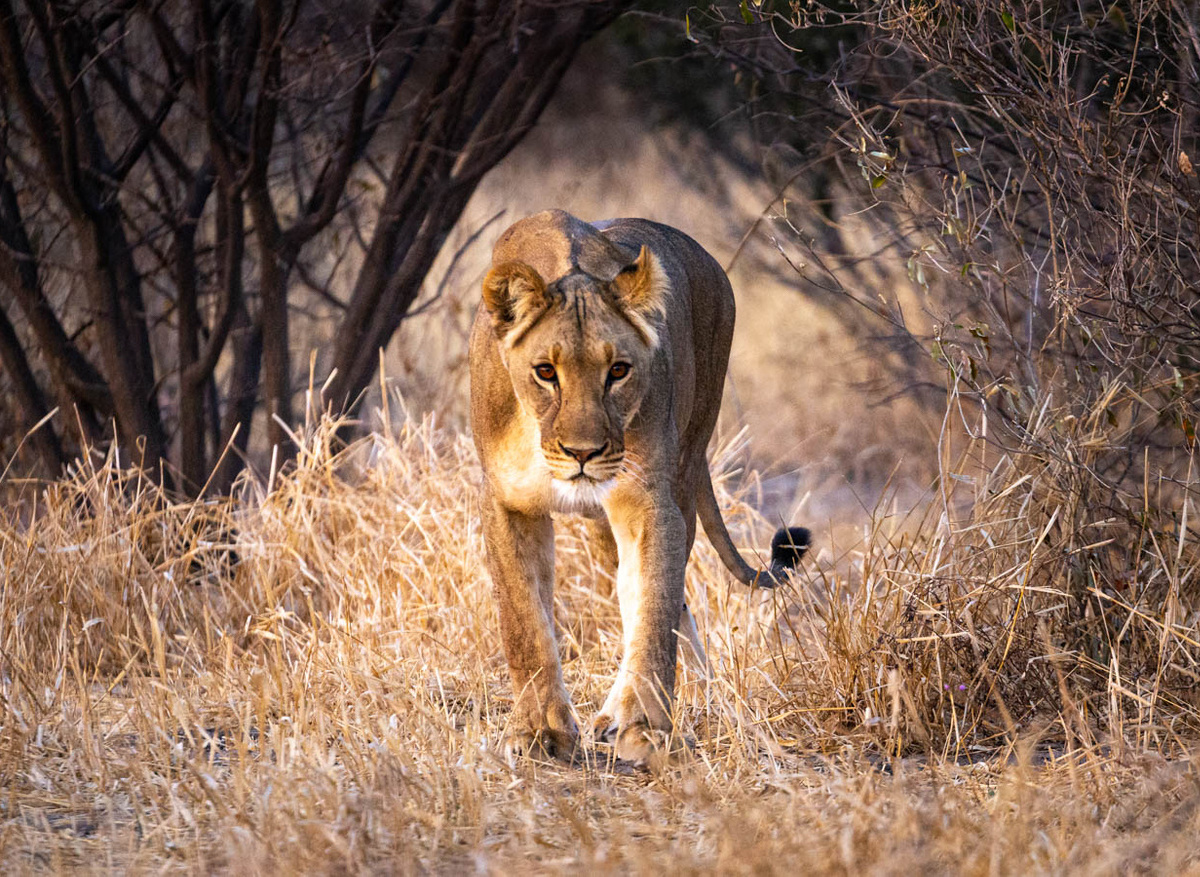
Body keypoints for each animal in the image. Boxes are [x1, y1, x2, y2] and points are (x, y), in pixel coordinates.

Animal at [469, 209, 809, 767]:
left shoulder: (649, 502)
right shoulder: (507, 504)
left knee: (659, 599)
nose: (583, 453)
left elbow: (653, 612)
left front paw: (643, 727)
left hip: (686, 463)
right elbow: (524, 624)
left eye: (619, 371)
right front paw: (540, 733)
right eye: (545, 372)